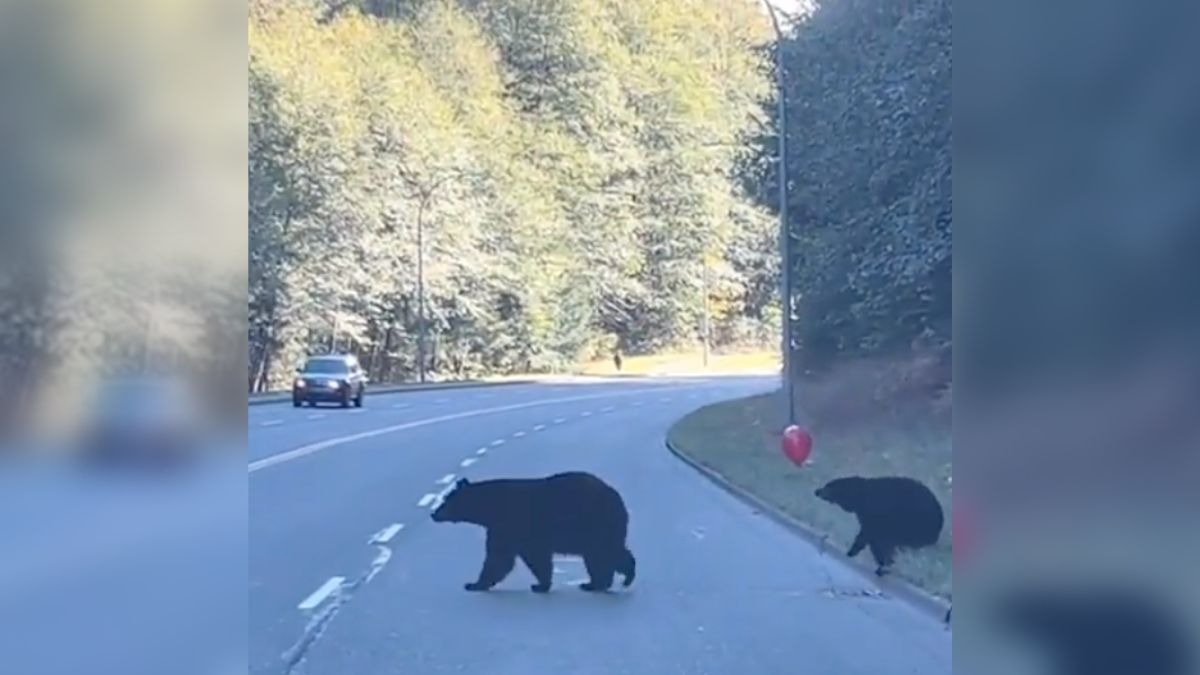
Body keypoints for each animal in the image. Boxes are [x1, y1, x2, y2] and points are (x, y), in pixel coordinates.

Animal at [432, 470, 638, 590]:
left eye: (446, 500)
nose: (434, 514)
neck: (490, 507)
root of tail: (616, 496)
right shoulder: (514, 532)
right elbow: (530, 557)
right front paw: (542, 584)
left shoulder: (509, 524)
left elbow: (500, 557)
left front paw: (474, 584)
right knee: (604, 553)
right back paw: (602, 581)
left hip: (595, 524)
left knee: (602, 553)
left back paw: (608, 581)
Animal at [816, 473, 945, 571]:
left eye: (828, 486)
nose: (816, 491)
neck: (860, 495)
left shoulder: (875, 515)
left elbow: (870, 536)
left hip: (913, 522)